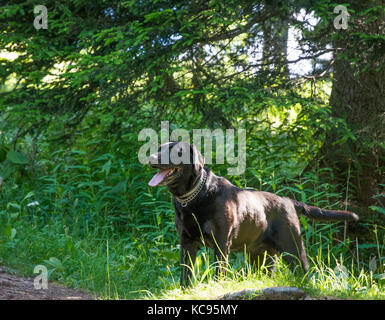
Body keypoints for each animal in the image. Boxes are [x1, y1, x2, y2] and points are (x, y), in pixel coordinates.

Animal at [146, 141, 356, 286]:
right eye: (159, 148)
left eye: (175, 151)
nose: (150, 157)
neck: (193, 197)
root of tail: (288, 201)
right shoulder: (187, 242)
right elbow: (185, 275)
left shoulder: (221, 243)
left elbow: (218, 273)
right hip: (261, 257)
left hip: (293, 248)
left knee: (304, 272)